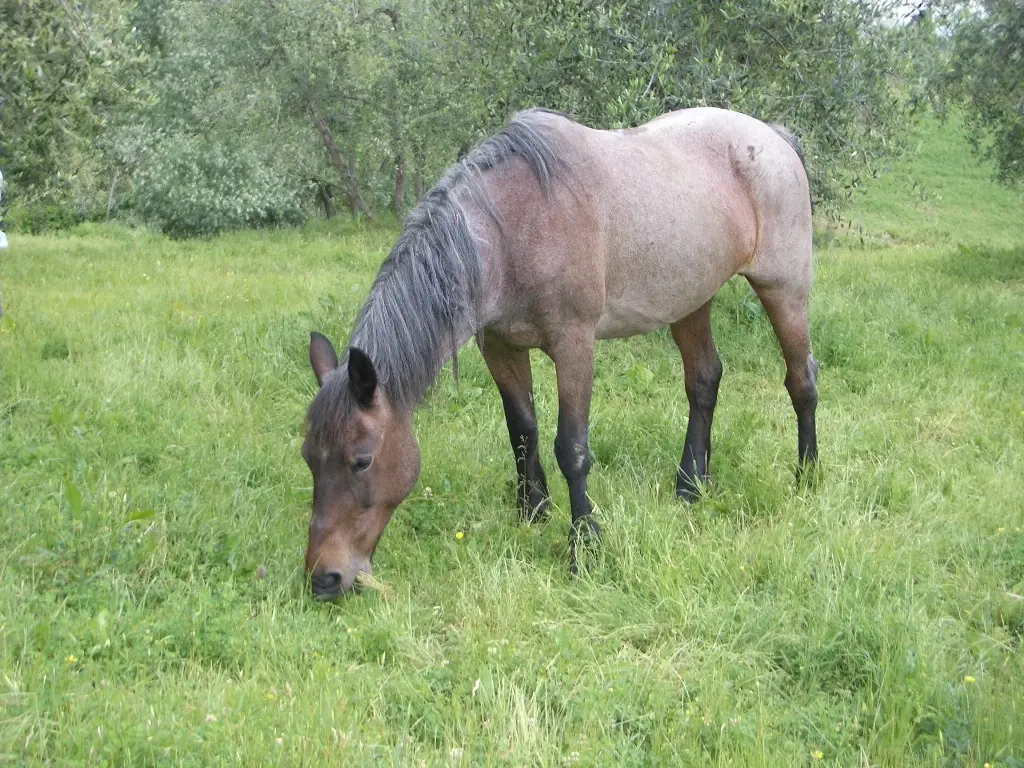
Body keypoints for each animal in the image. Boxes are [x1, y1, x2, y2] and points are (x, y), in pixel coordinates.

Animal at [299, 107, 819, 602]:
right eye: (308, 457)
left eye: (361, 460)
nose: (323, 578)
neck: (511, 230)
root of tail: (774, 137)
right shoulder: (499, 346)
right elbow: (521, 430)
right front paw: (534, 511)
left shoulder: (574, 346)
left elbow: (571, 447)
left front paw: (584, 546)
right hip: (691, 300)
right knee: (704, 381)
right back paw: (691, 486)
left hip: (784, 289)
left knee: (802, 381)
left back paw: (807, 478)